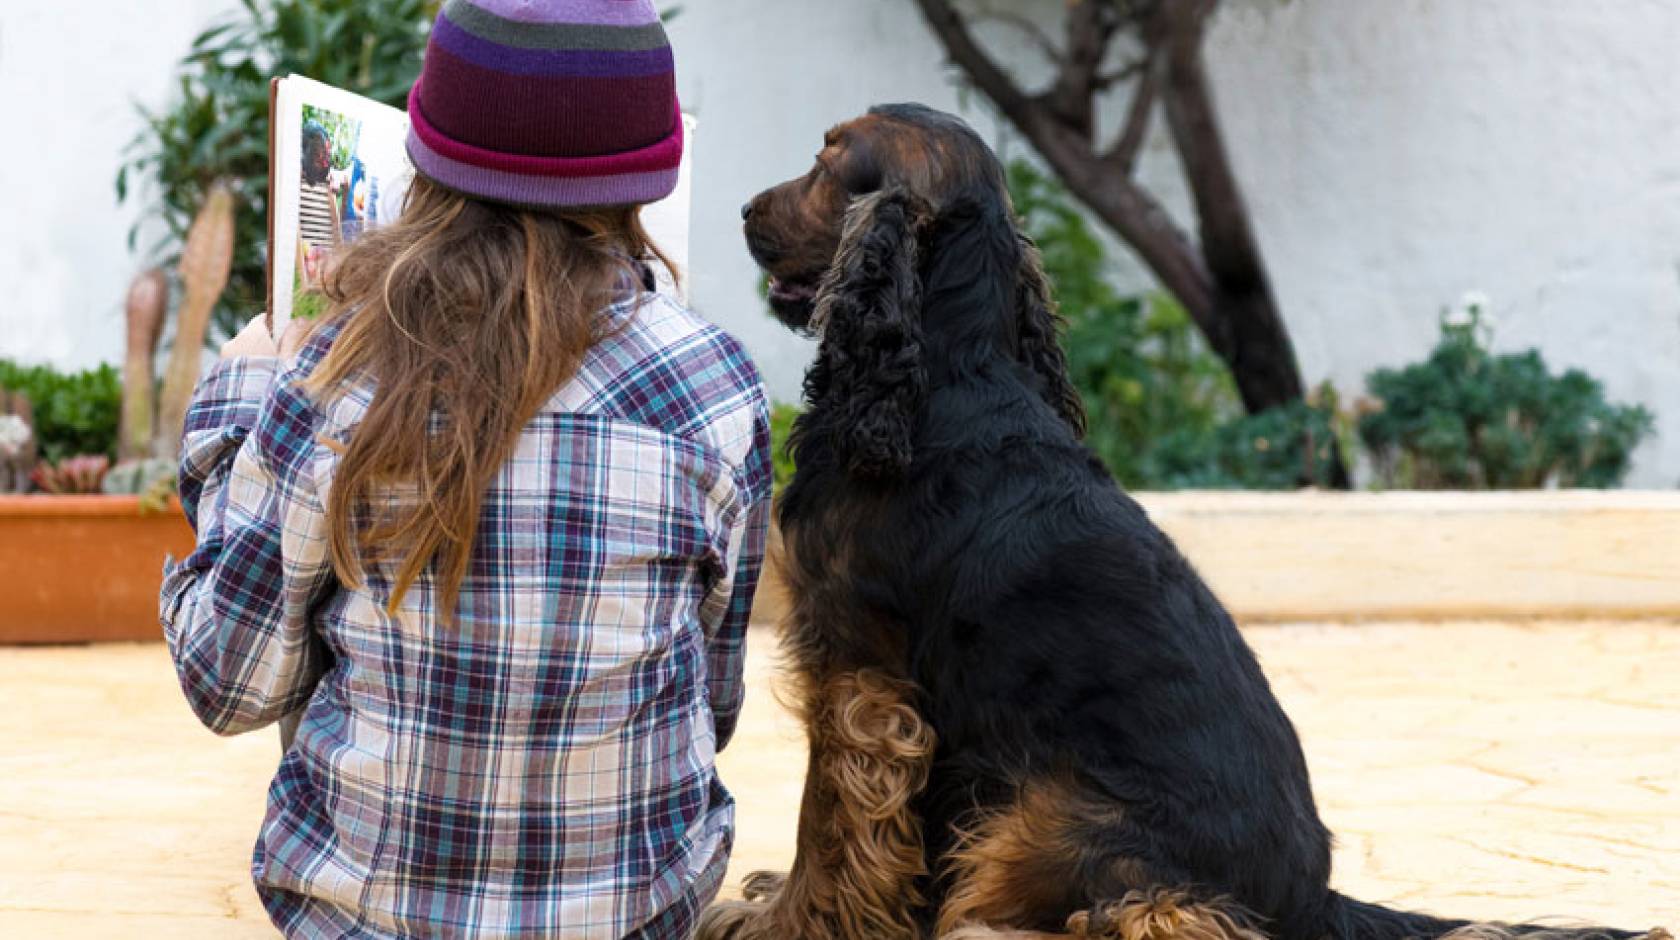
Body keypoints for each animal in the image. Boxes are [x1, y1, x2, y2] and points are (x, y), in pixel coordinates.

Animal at [695, 104, 1666, 940]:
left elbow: (830, 825)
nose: (739, 209)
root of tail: (1316, 900)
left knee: (1140, 916)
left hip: (1048, 817)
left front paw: (785, 922)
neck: (946, 373)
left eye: (828, 161)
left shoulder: (860, 673)